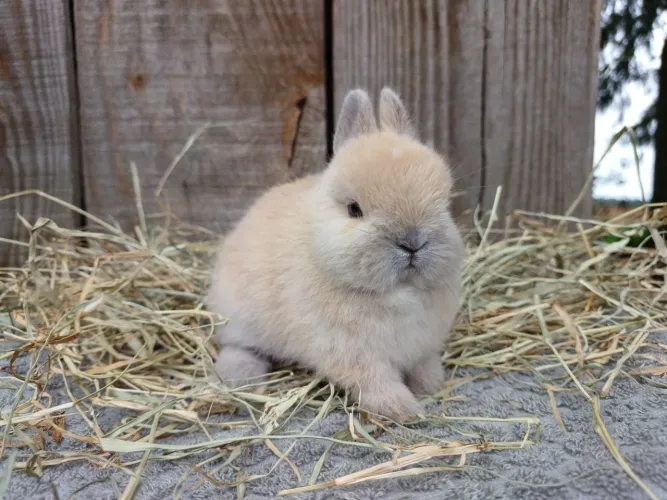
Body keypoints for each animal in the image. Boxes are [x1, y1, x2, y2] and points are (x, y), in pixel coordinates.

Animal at [206, 87, 466, 422]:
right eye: (354, 209)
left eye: (444, 204)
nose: (413, 241)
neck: (397, 294)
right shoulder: (353, 355)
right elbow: (376, 383)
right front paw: (404, 410)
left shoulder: (423, 345)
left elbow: (424, 365)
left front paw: (431, 385)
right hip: (239, 316)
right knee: (238, 345)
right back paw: (240, 376)